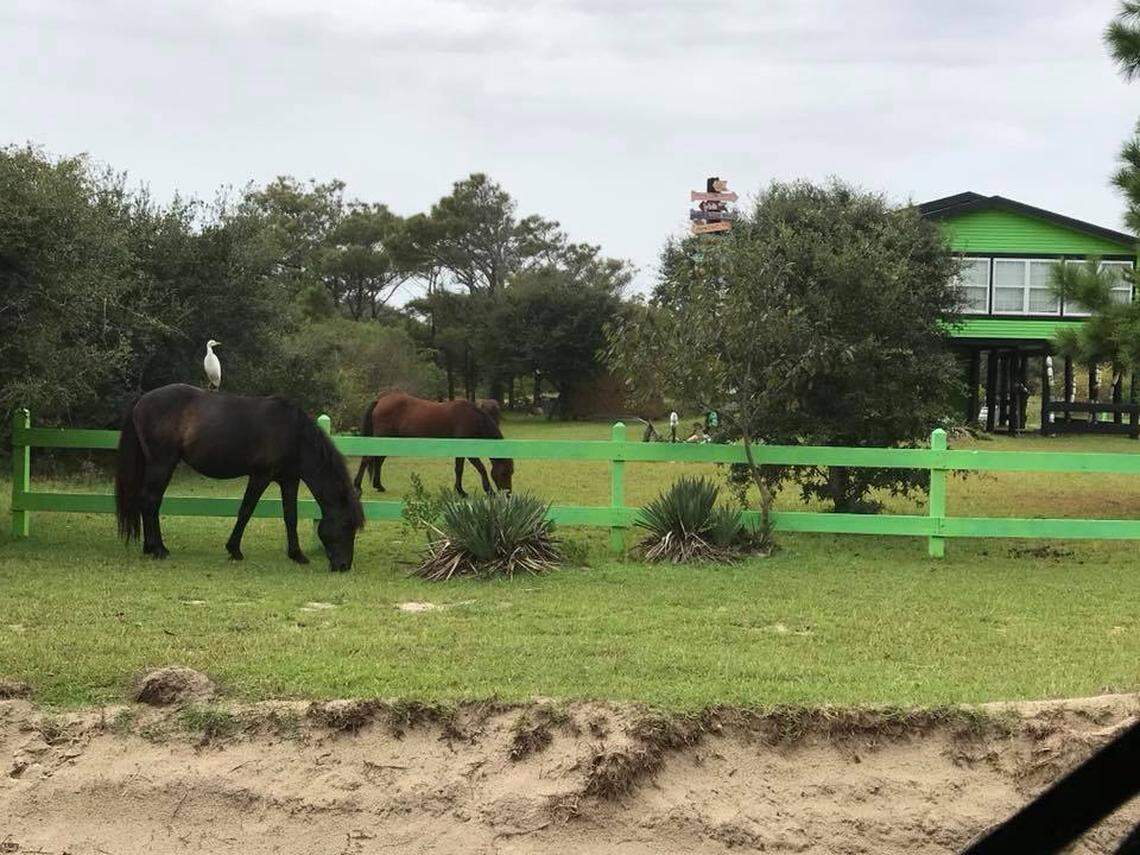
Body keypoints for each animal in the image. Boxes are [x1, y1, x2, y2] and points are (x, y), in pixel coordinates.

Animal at [115, 384, 364, 572]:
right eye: (346, 525)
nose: (343, 566)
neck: (293, 434)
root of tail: (143, 399)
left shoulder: (289, 480)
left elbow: (290, 516)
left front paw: (297, 555)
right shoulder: (260, 476)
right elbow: (246, 511)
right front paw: (234, 549)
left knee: (148, 501)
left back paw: (150, 547)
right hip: (162, 464)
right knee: (150, 500)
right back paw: (158, 549)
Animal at [354, 392, 513, 496]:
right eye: (504, 472)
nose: (508, 494)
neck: (472, 418)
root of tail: (380, 401)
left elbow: (459, 470)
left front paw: (460, 491)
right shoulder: (467, 450)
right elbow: (481, 469)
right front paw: (489, 491)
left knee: (378, 461)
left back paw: (379, 486)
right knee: (367, 459)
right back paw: (358, 487)